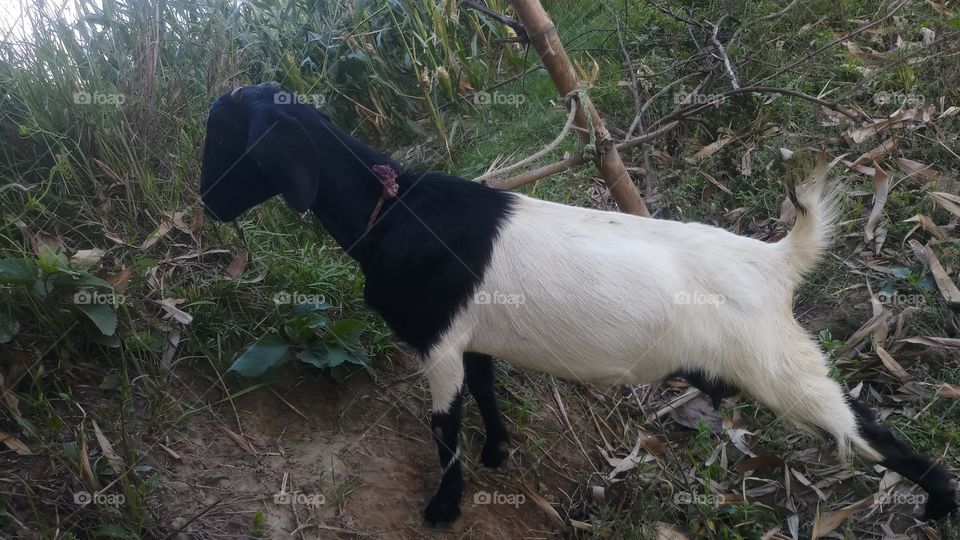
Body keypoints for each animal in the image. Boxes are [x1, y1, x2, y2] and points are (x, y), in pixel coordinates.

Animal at [199, 85, 956, 528]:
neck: (393, 210)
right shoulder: (473, 337)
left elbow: (444, 426)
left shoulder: (437, 343)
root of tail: (775, 261)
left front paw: (443, 508)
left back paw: (937, 504)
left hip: (782, 369)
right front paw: (499, 452)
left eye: (228, 139)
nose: (207, 204)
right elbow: (486, 392)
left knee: (867, 431)